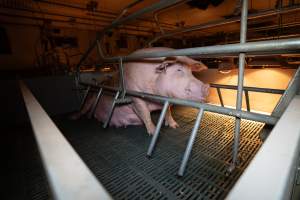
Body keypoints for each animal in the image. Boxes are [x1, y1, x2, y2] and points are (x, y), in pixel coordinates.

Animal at [72, 47, 209, 134]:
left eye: (191, 72)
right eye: (179, 70)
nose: (206, 87)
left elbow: (168, 112)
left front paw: (175, 126)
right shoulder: (135, 96)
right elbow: (145, 113)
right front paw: (153, 132)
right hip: (91, 98)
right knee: (82, 110)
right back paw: (72, 118)